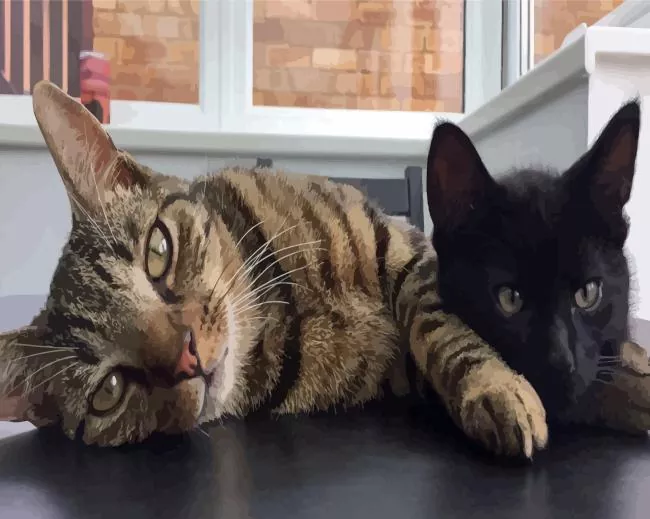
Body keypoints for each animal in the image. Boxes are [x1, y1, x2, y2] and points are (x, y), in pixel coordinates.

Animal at [0, 80, 547, 456]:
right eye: (108, 391)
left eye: (158, 251)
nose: (187, 358)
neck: (281, 313)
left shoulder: (402, 245)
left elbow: (440, 326)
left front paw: (495, 387)